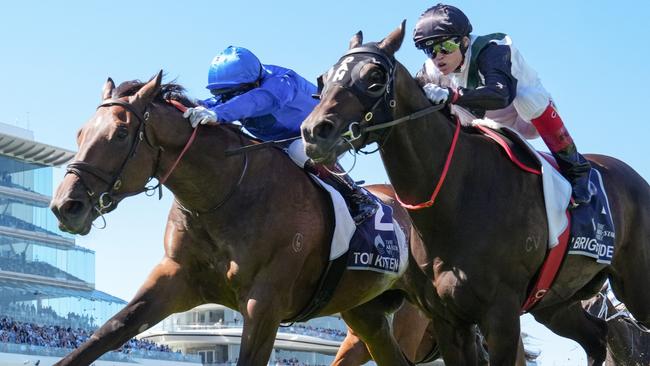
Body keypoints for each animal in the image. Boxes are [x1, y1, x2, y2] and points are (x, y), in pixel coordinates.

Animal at [49, 72, 436, 366]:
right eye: (81, 133)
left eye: (120, 134)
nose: (65, 205)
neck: (224, 194)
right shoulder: (175, 278)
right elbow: (109, 332)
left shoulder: (264, 304)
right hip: (366, 316)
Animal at [302, 21, 648, 364]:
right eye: (324, 78)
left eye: (374, 78)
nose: (313, 132)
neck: (457, 197)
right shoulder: (448, 319)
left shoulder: (501, 316)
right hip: (554, 300)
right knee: (596, 337)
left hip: (635, 284)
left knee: (534, 105)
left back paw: (578, 174)